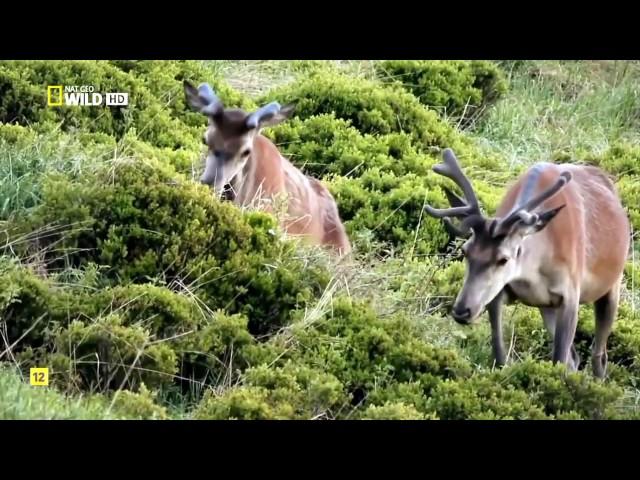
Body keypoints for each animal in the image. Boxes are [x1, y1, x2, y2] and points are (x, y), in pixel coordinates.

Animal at [424, 148, 632, 376]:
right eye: (465, 251)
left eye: (503, 259)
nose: (462, 310)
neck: (533, 272)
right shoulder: (502, 293)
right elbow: (499, 353)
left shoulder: (571, 293)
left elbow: (559, 358)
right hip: (546, 305)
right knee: (574, 358)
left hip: (613, 284)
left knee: (598, 355)